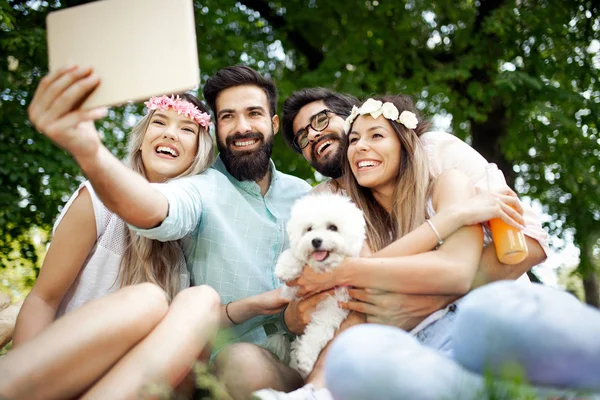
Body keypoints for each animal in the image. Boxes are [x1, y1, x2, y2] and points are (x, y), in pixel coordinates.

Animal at [274, 194, 364, 378]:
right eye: (309, 229)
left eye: (333, 227)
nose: (315, 241)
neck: (322, 270)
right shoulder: (293, 292)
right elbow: (295, 257)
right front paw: (287, 266)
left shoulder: (334, 307)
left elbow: (318, 331)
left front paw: (305, 360)